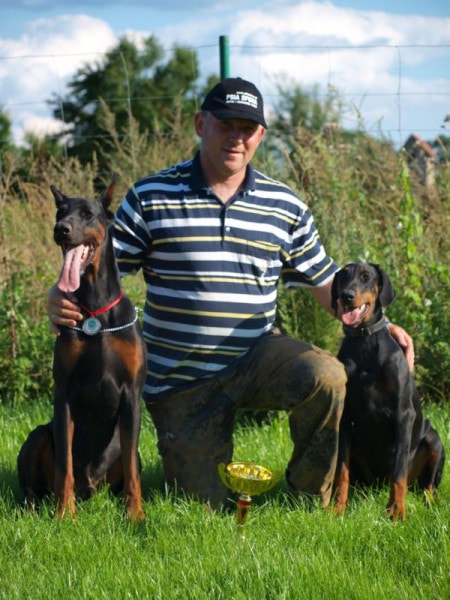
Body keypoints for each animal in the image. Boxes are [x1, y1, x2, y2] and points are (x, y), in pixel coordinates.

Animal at [17, 181, 146, 520]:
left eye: (88, 213)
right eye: (60, 211)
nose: (61, 229)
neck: (95, 307)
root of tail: (91, 489)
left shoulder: (132, 394)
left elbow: (132, 468)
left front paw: (136, 516)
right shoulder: (64, 391)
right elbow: (65, 465)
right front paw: (64, 515)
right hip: (37, 436)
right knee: (33, 489)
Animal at [331, 262, 445, 519]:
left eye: (366, 276)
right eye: (343, 276)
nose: (346, 296)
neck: (364, 342)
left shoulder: (403, 415)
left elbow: (398, 471)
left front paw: (397, 512)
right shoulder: (345, 419)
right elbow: (341, 470)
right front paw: (339, 508)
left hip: (434, 441)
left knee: (427, 486)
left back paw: (430, 504)